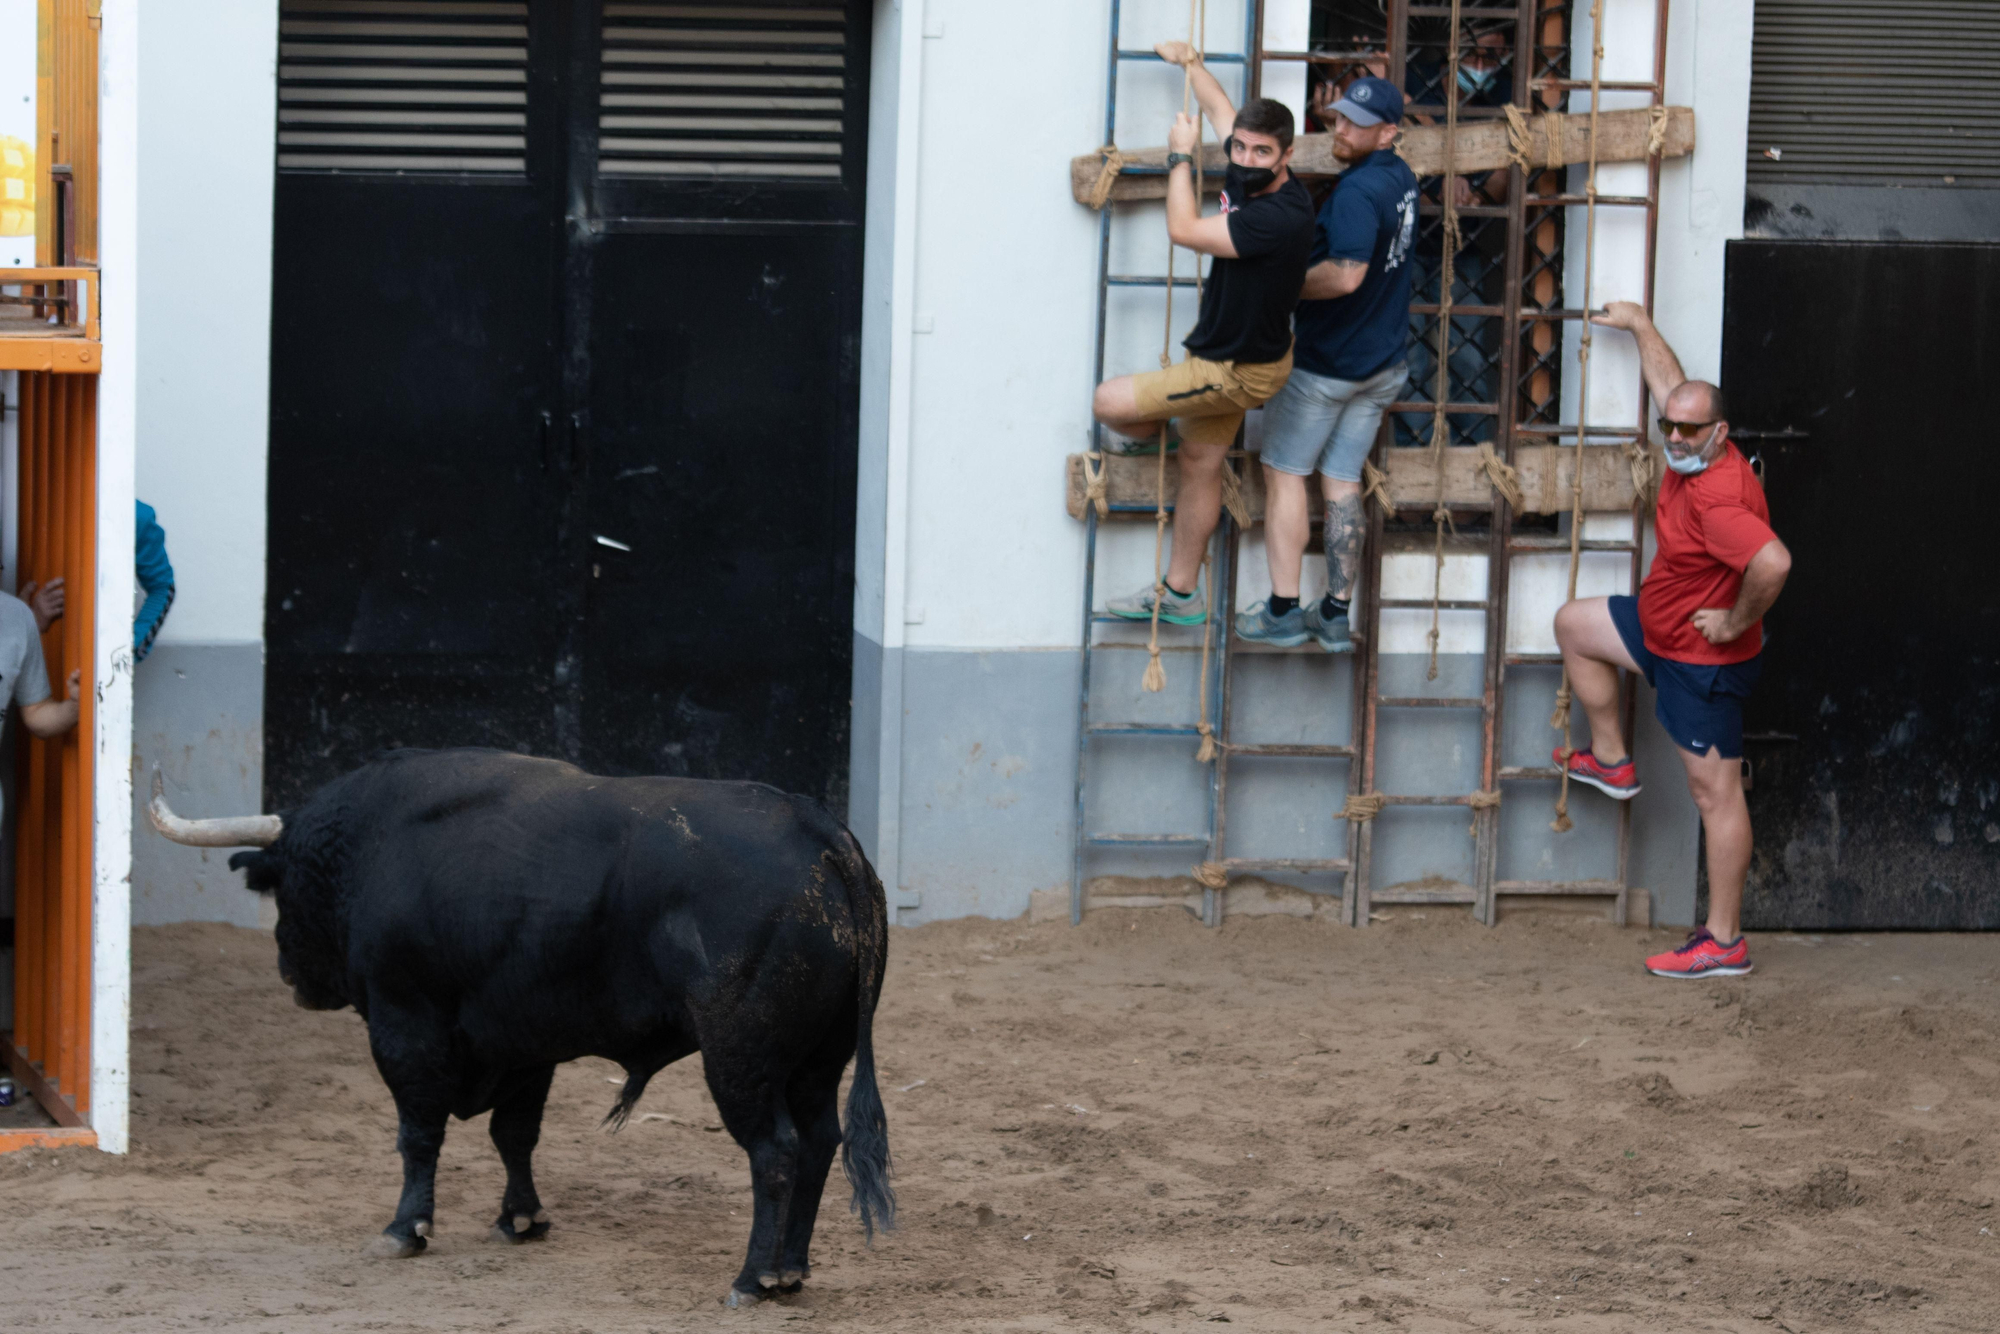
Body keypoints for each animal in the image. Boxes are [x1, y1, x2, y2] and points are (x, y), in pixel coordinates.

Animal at [223, 752, 896, 1304]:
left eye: (280, 887)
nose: (288, 971)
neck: (369, 845)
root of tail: (817, 829)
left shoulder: (405, 1024)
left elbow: (419, 1133)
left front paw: (404, 1229)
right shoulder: (521, 1043)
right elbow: (514, 1134)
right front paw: (521, 1220)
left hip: (740, 1059)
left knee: (774, 1151)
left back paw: (753, 1279)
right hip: (816, 1062)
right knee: (818, 1142)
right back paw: (793, 1270)